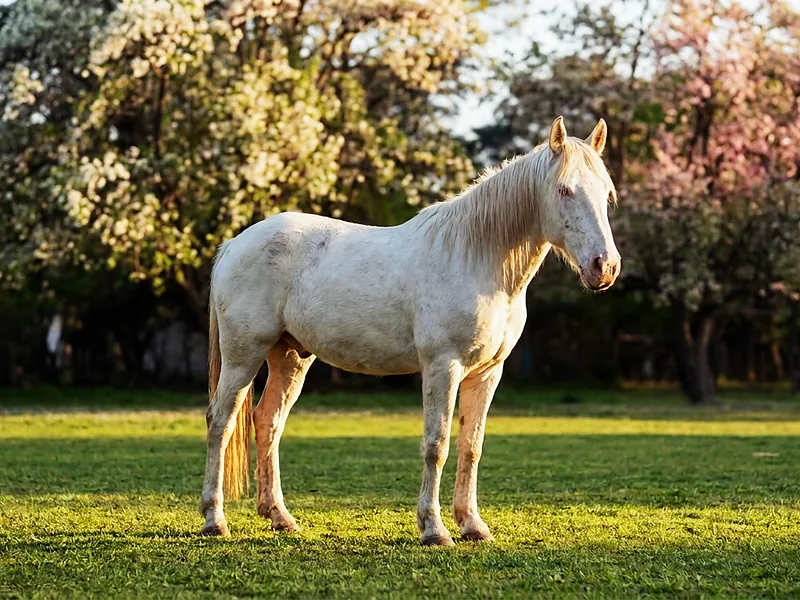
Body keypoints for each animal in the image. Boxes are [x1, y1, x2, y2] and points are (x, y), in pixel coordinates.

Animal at [199, 116, 621, 546]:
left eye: (606, 194)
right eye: (564, 189)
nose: (604, 266)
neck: (474, 257)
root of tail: (235, 243)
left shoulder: (487, 373)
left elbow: (472, 446)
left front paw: (472, 524)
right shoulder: (442, 367)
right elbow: (437, 445)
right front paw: (434, 528)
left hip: (290, 358)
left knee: (267, 422)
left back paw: (280, 516)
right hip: (243, 356)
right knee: (221, 421)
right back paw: (215, 519)